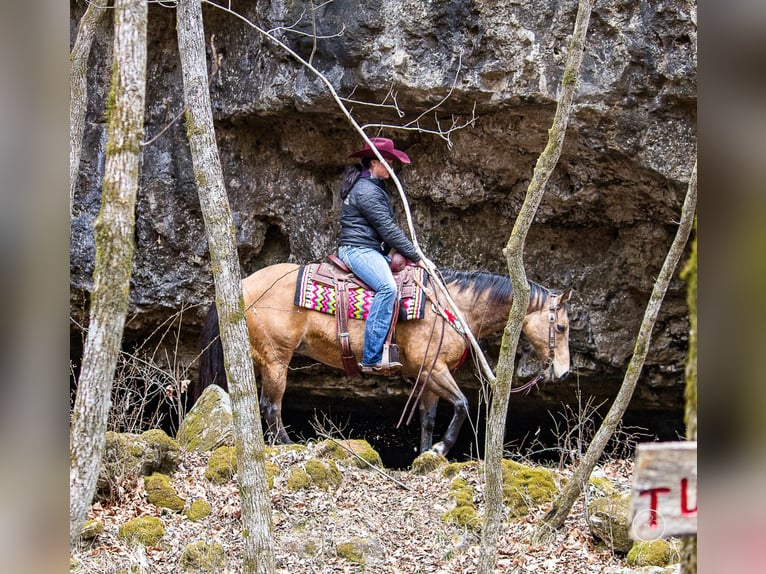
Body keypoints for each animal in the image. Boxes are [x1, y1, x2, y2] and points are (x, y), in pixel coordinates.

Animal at [195, 264, 572, 456]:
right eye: (562, 327)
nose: (565, 372)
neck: (451, 307)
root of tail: (239, 286)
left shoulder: (428, 376)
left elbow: (428, 418)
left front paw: (425, 454)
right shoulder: (434, 368)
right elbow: (463, 404)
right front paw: (441, 448)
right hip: (276, 360)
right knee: (270, 406)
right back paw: (288, 445)